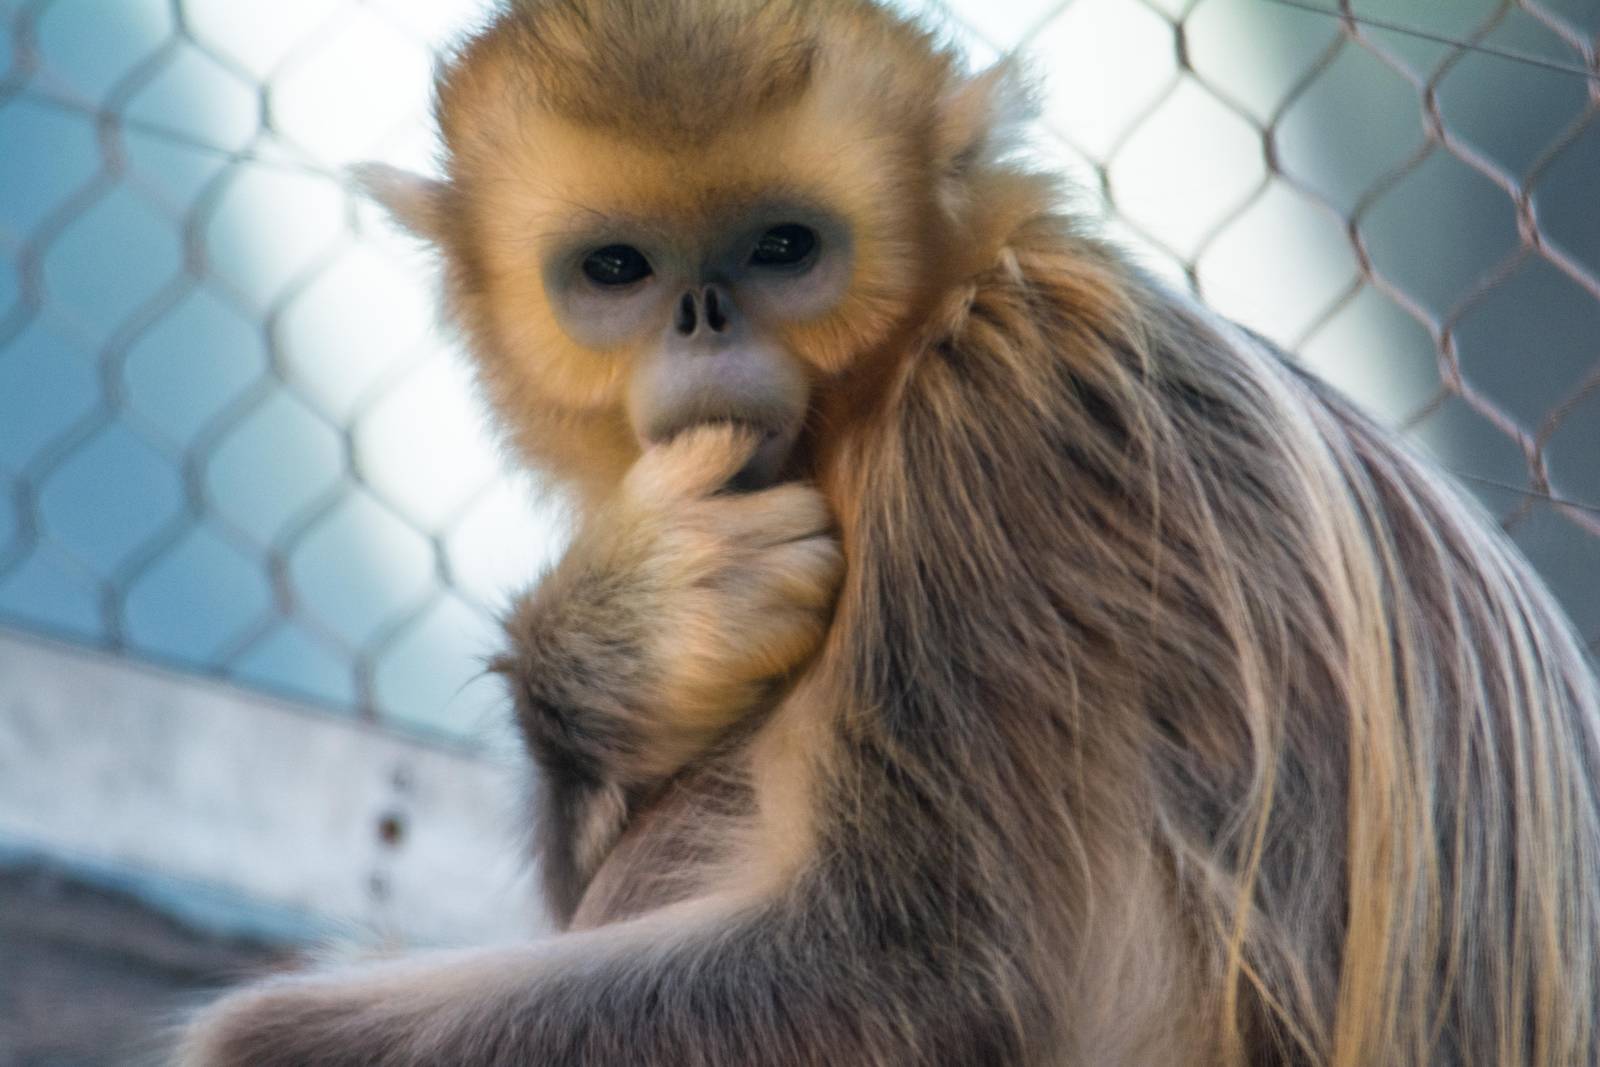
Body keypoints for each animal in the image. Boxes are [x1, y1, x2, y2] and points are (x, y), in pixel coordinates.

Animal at [178, 0, 1600, 1063]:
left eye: (782, 247)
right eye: (618, 270)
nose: (702, 317)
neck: (893, 372)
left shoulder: (996, 434)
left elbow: (914, 975)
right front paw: (628, 636)